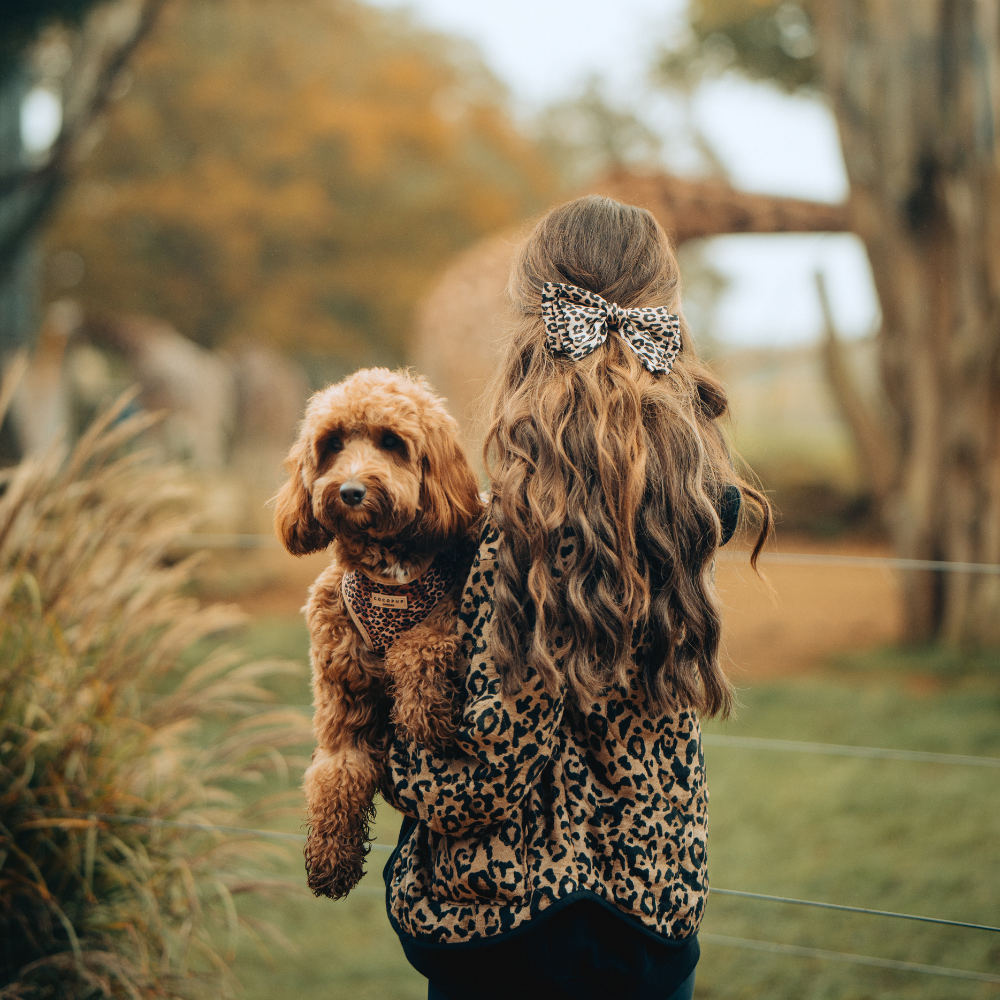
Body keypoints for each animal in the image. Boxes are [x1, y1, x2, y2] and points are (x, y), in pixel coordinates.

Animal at [272, 368, 478, 900]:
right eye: (332, 444)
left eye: (391, 442)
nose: (349, 491)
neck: (389, 574)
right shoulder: (340, 691)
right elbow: (336, 772)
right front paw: (330, 860)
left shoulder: (445, 614)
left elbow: (414, 647)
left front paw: (426, 716)